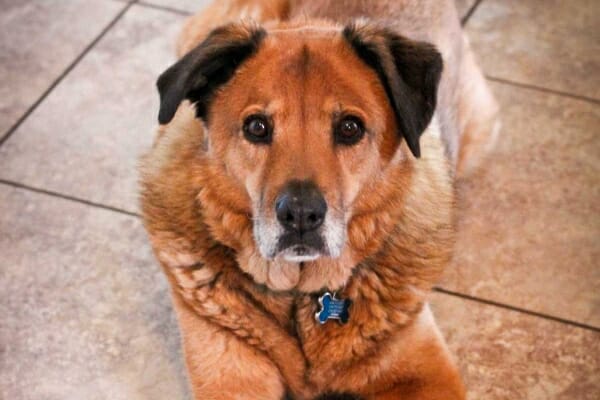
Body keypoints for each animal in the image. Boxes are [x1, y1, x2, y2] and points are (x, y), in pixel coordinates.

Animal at [138, 1, 500, 398]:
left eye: (350, 128)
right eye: (256, 127)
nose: (300, 215)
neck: (300, 295)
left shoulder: (427, 376)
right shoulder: (231, 376)